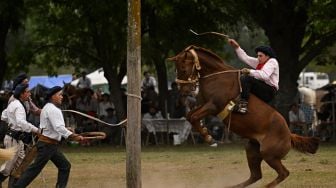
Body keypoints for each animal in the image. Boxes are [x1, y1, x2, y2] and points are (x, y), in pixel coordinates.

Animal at [168, 44, 320, 187]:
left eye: (183, 68)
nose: (184, 91)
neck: (217, 76)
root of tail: (289, 134)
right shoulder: (204, 104)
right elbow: (190, 116)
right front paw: (206, 132)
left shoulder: (213, 106)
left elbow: (193, 117)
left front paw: (210, 139)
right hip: (252, 150)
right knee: (256, 175)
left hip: (269, 155)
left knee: (283, 173)